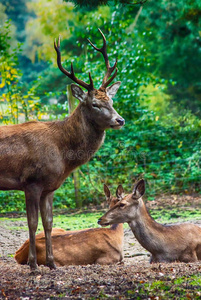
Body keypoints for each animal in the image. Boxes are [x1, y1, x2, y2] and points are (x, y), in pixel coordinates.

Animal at [0, 29, 124, 270]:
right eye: (94, 104)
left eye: (112, 101)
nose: (120, 120)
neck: (63, 156)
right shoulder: (31, 182)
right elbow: (32, 223)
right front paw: (33, 265)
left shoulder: (50, 187)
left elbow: (48, 223)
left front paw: (51, 264)